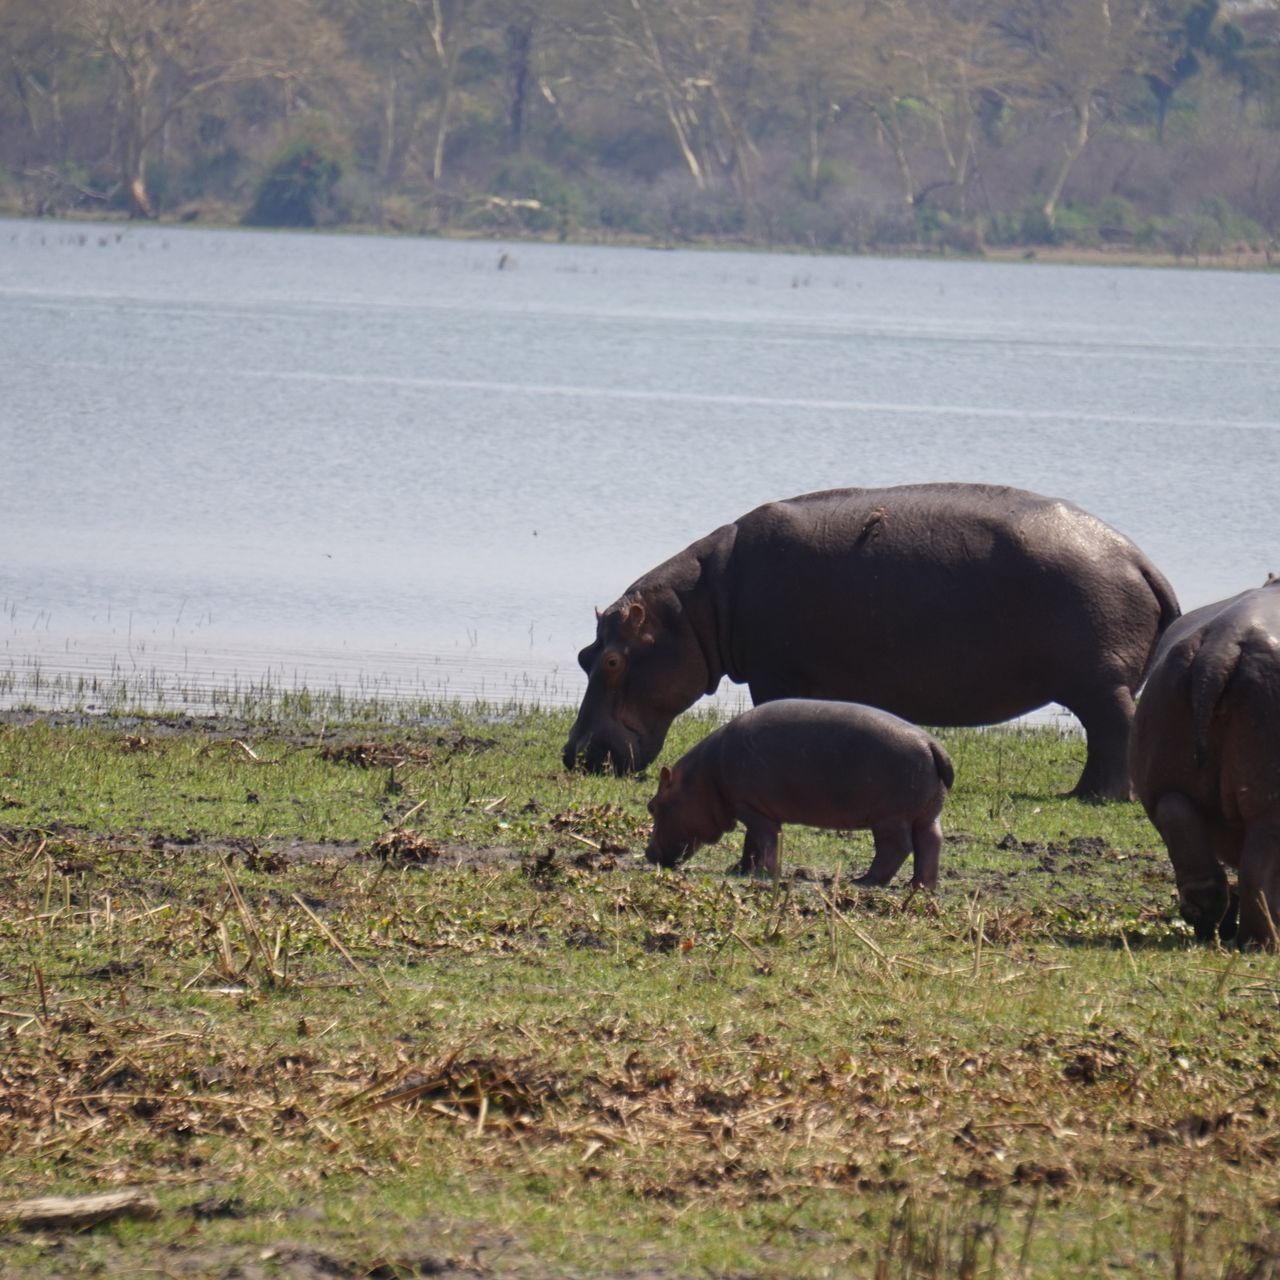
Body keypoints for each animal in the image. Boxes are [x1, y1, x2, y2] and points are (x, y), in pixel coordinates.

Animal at [564, 483, 1179, 800]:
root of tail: (1140, 559)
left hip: (1098, 682)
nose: (572, 755)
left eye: (613, 660)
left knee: (1112, 732)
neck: (695, 608)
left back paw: (1095, 798)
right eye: (583, 655)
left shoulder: (774, 675)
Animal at [644, 698, 954, 885]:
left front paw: (763, 873)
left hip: (890, 818)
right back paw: (920, 885)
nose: (648, 853)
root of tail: (931, 743)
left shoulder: (750, 808)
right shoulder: (750, 807)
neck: (702, 778)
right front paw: (740, 869)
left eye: (653, 806)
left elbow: (766, 840)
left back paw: (865, 880)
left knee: (896, 847)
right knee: (930, 842)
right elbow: (751, 843)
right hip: (926, 813)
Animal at [1130, 580, 1280, 948]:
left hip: (1167, 785)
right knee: (1257, 870)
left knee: (1189, 845)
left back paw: (1211, 931)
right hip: (1268, 801)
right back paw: (1262, 943)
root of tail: (1221, 646)